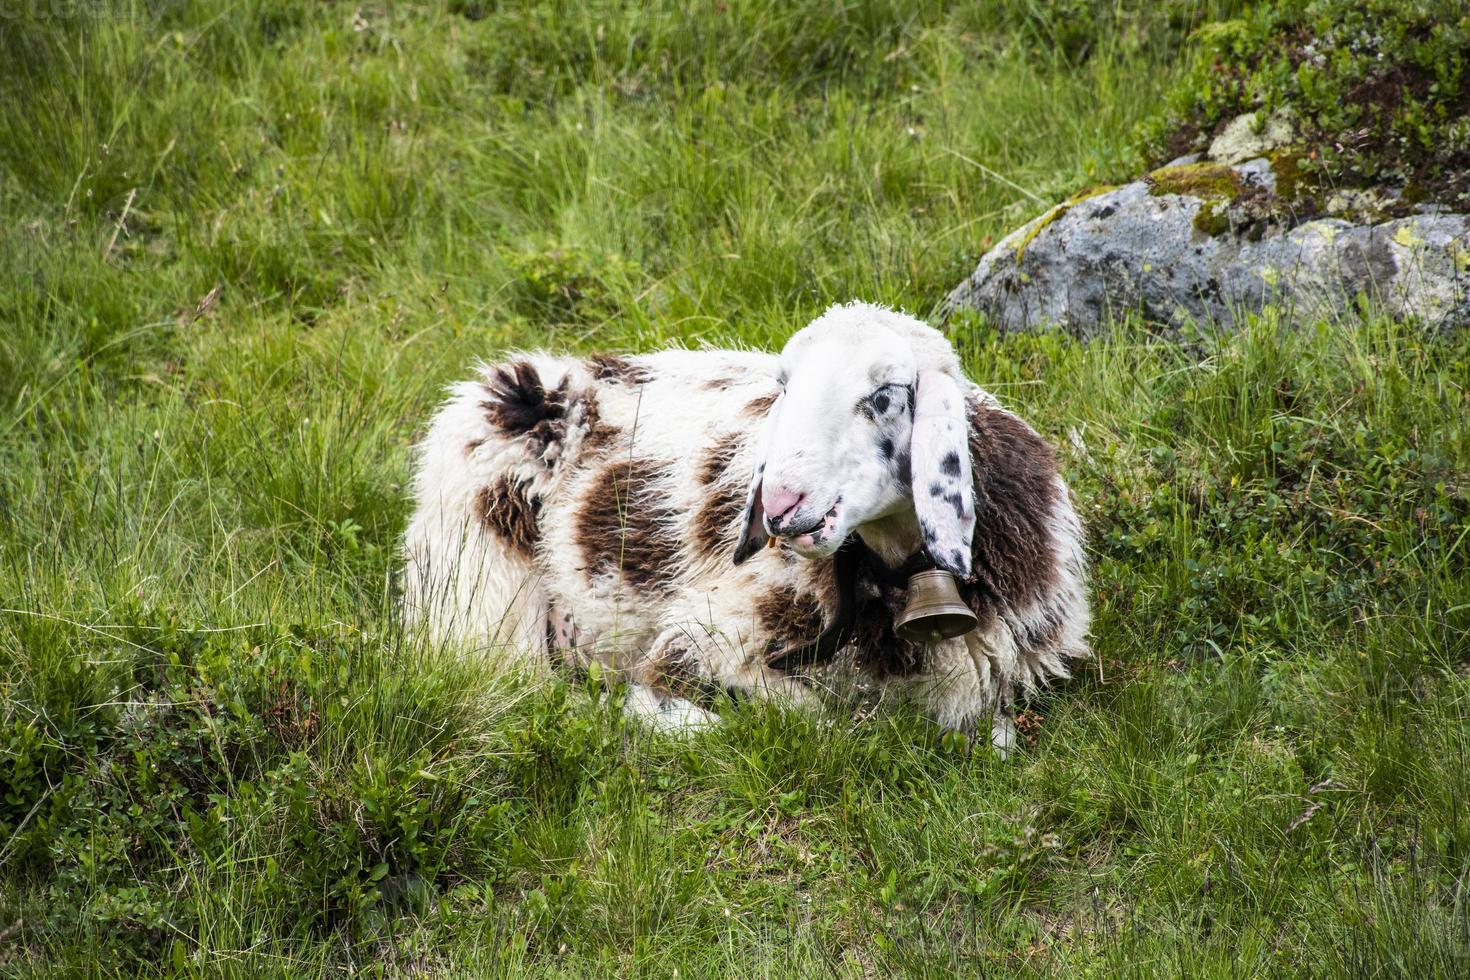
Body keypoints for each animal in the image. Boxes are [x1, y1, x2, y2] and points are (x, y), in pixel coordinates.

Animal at [402, 302, 1093, 746]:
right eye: (784, 386)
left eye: (886, 396)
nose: (779, 503)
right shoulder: (703, 636)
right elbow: (813, 721)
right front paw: (650, 714)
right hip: (477, 596)